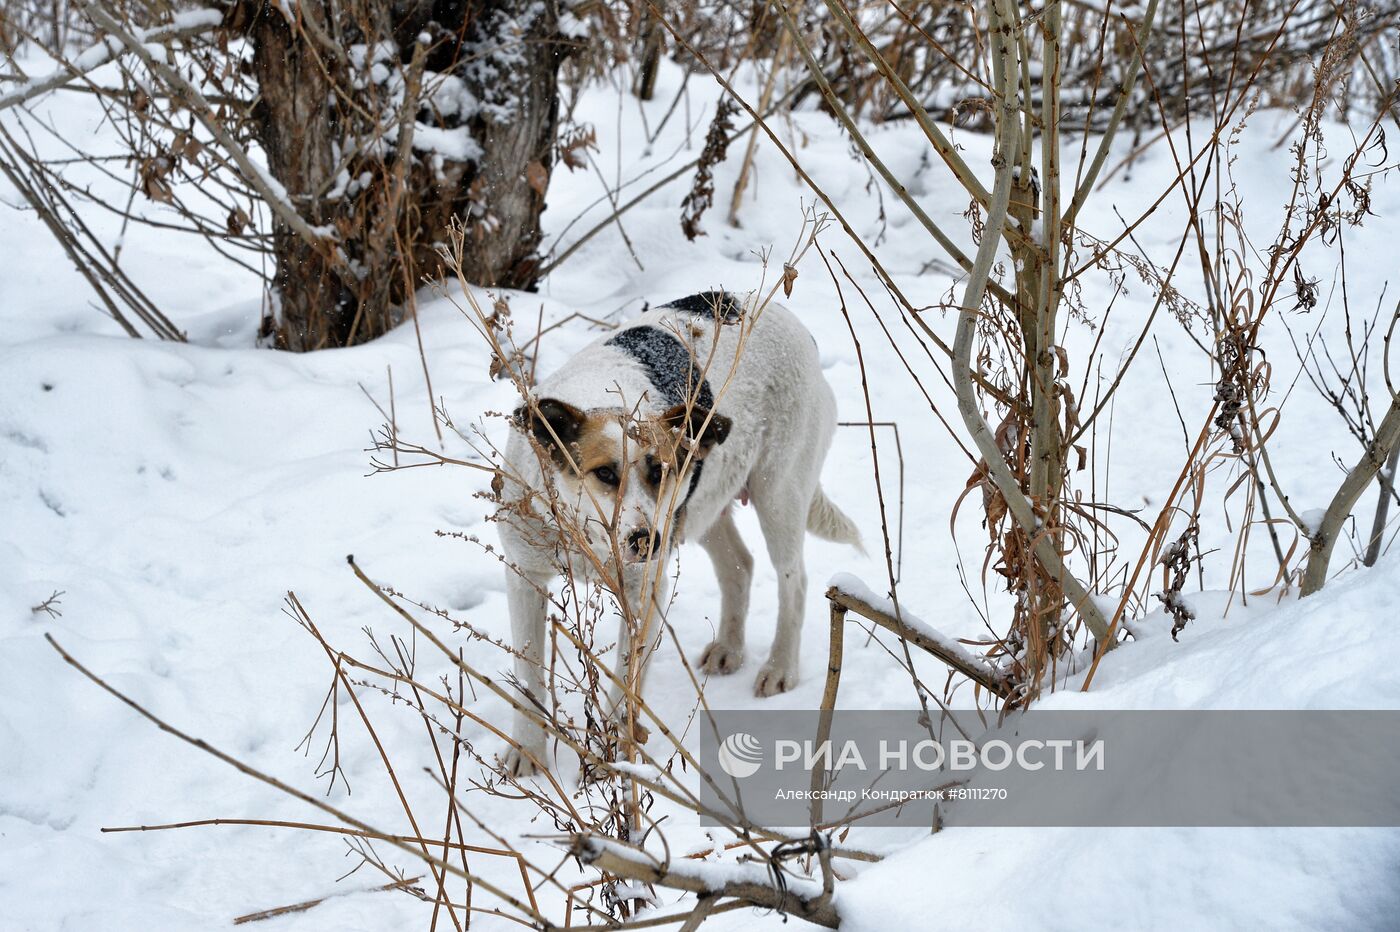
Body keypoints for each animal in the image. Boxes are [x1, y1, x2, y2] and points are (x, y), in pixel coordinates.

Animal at [498, 288, 856, 766]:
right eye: (605, 474)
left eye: (660, 471)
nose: (645, 540)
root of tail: (788, 316)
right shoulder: (525, 578)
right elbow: (529, 675)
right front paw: (529, 751)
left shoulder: (643, 592)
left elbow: (624, 690)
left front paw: (619, 759)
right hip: (702, 505)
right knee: (739, 565)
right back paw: (728, 649)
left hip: (778, 493)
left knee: (793, 581)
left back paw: (780, 668)